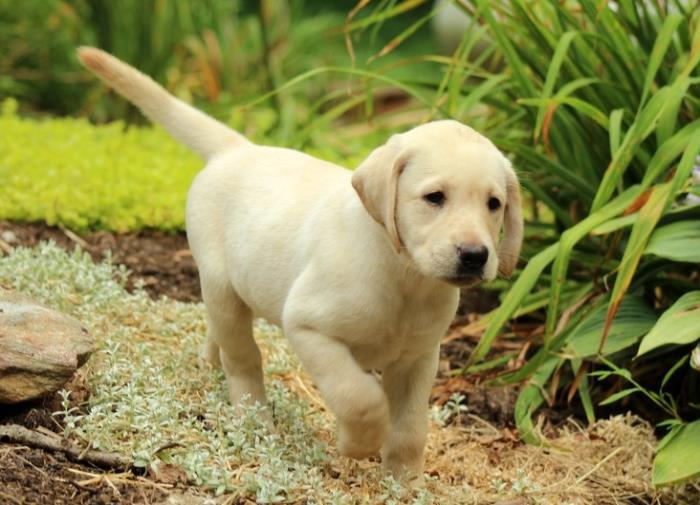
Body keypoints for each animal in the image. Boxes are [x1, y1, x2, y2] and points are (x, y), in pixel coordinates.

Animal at [79, 46, 524, 480]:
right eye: (434, 197)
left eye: (494, 204)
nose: (475, 255)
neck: (404, 277)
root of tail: (238, 149)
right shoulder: (310, 327)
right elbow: (359, 397)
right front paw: (358, 444)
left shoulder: (419, 357)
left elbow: (411, 428)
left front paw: (405, 483)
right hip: (222, 284)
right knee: (242, 357)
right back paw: (255, 420)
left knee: (218, 336)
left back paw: (208, 366)